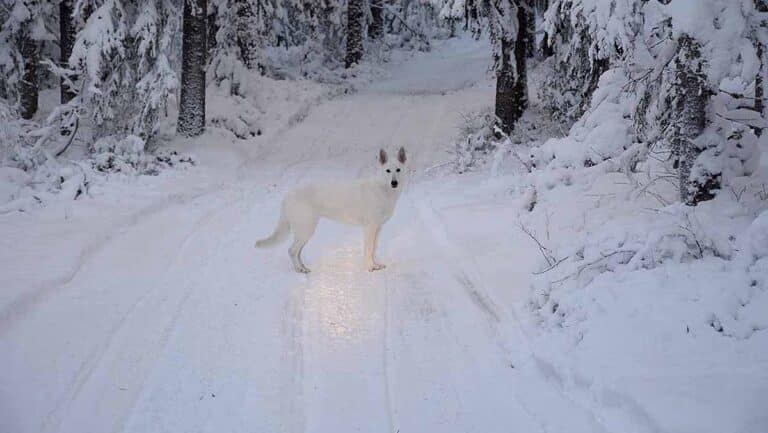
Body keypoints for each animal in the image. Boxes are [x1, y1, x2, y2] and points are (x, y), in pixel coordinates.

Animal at [256, 147, 408, 272]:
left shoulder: (378, 228)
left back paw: (303, 267)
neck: (382, 189)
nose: (394, 183)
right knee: (291, 251)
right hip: (306, 229)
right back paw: (299, 270)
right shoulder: (369, 228)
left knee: (296, 252)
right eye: (388, 171)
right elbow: (369, 249)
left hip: (304, 232)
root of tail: (287, 196)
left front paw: (376, 264)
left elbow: (374, 249)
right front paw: (370, 267)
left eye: (398, 170)